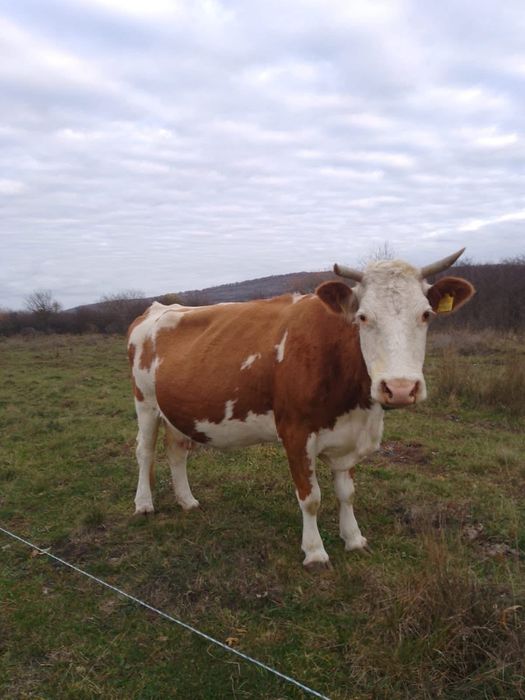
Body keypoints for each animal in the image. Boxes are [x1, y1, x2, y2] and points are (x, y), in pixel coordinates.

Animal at [127, 249, 474, 568]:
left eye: (426, 314)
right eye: (363, 317)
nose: (400, 388)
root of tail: (160, 307)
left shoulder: (349, 434)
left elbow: (347, 492)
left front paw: (354, 538)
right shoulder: (295, 432)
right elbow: (310, 498)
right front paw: (315, 552)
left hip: (176, 409)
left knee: (177, 451)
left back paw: (187, 501)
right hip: (145, 401)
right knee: (144, 451)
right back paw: (143, 503)